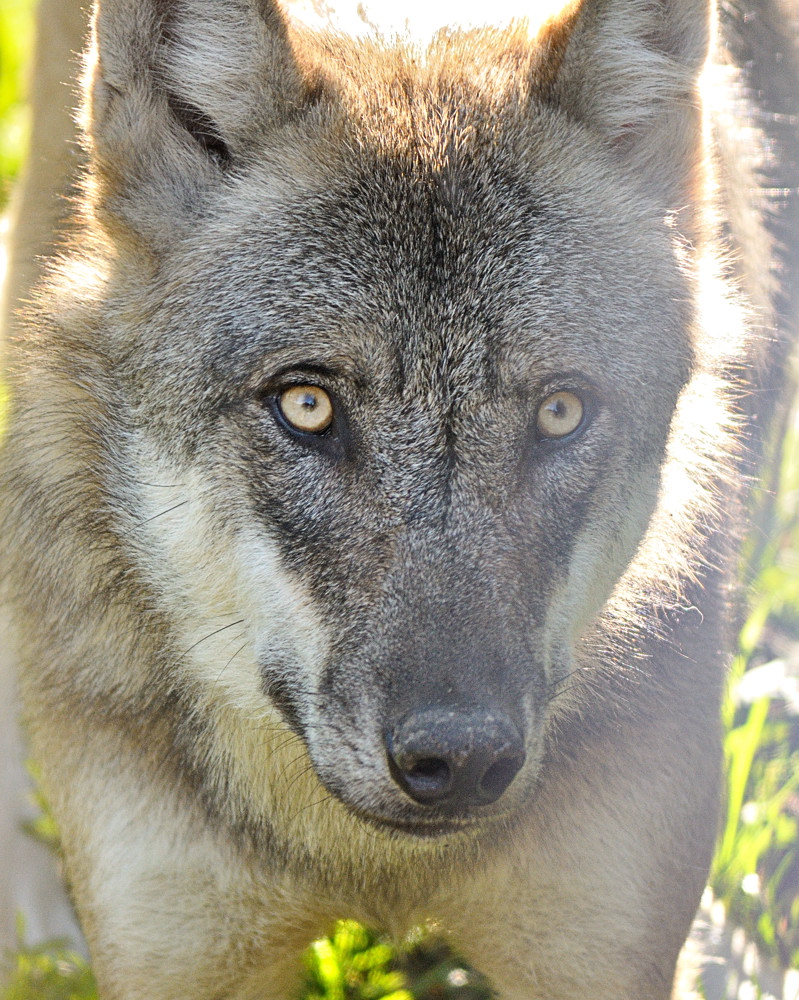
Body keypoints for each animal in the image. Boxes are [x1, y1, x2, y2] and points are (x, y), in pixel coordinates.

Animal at [0, 0, 796, 992]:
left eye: (560, 410)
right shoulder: (181, 956)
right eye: (306, 404)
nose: (461, 759)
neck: (370, 868)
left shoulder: (602, 953)